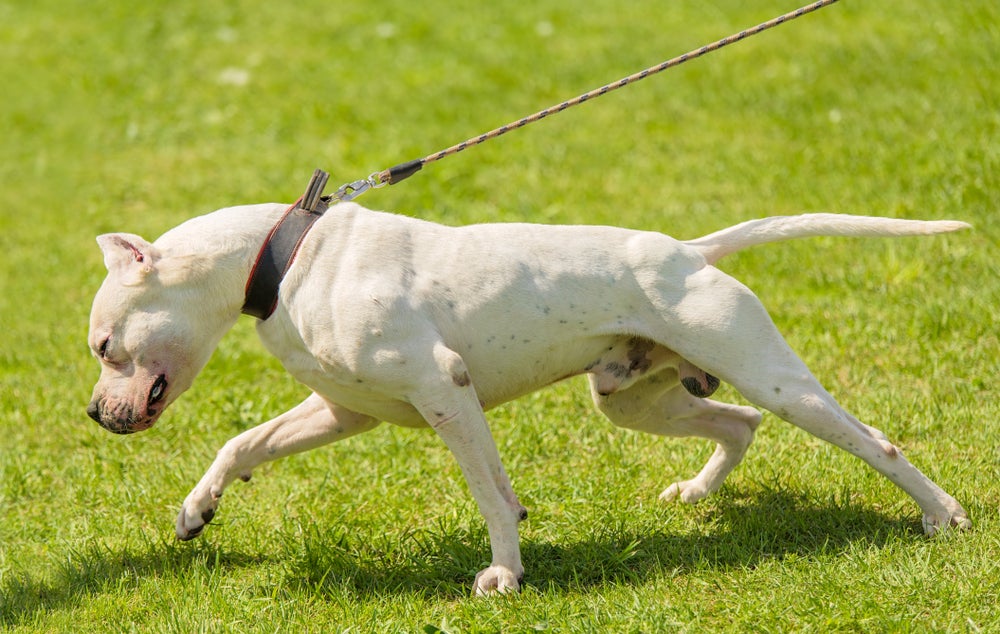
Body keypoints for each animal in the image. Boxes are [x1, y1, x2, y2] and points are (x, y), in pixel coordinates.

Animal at [88, 200, 968, 596]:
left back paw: (943, 515)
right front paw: (196, 511)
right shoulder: (345, 411)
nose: (94, 416)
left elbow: (489, 494)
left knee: (872, 440)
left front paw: (504, 575)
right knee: (739, 422)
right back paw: (698, 492)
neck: (280, 258)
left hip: (774, 378)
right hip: (637, 399)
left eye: (103, 346)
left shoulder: (443, 392)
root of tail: (691, 251)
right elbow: (242, 443)